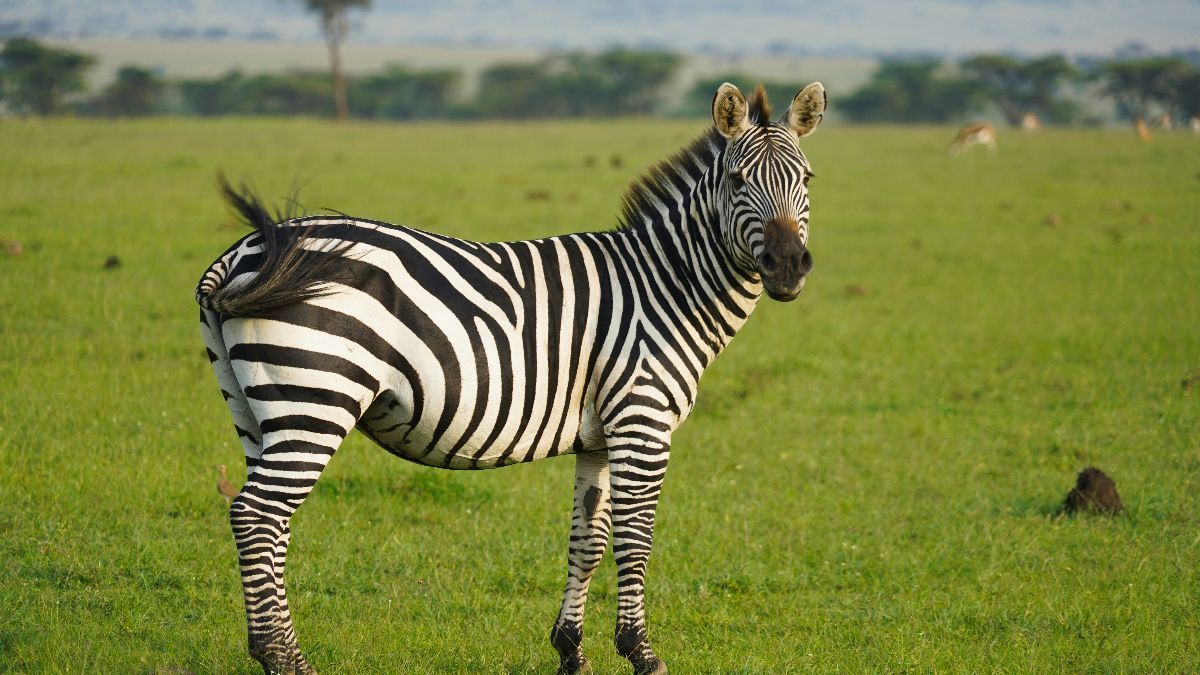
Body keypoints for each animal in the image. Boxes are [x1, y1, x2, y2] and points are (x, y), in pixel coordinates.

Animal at [199, 81, 825, 667]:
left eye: (808, 179)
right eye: (738, 180)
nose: (788, 266)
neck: (665, 285)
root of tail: (247, 249)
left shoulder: (599, 437)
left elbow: (588, 541)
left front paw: (571, 650)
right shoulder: (641, 422)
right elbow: (635, 538)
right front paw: (640, 652)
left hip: (256, 409)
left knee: (267, 525)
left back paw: (271, 649)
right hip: (315, 398)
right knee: (258, 517)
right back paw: (285, 659)